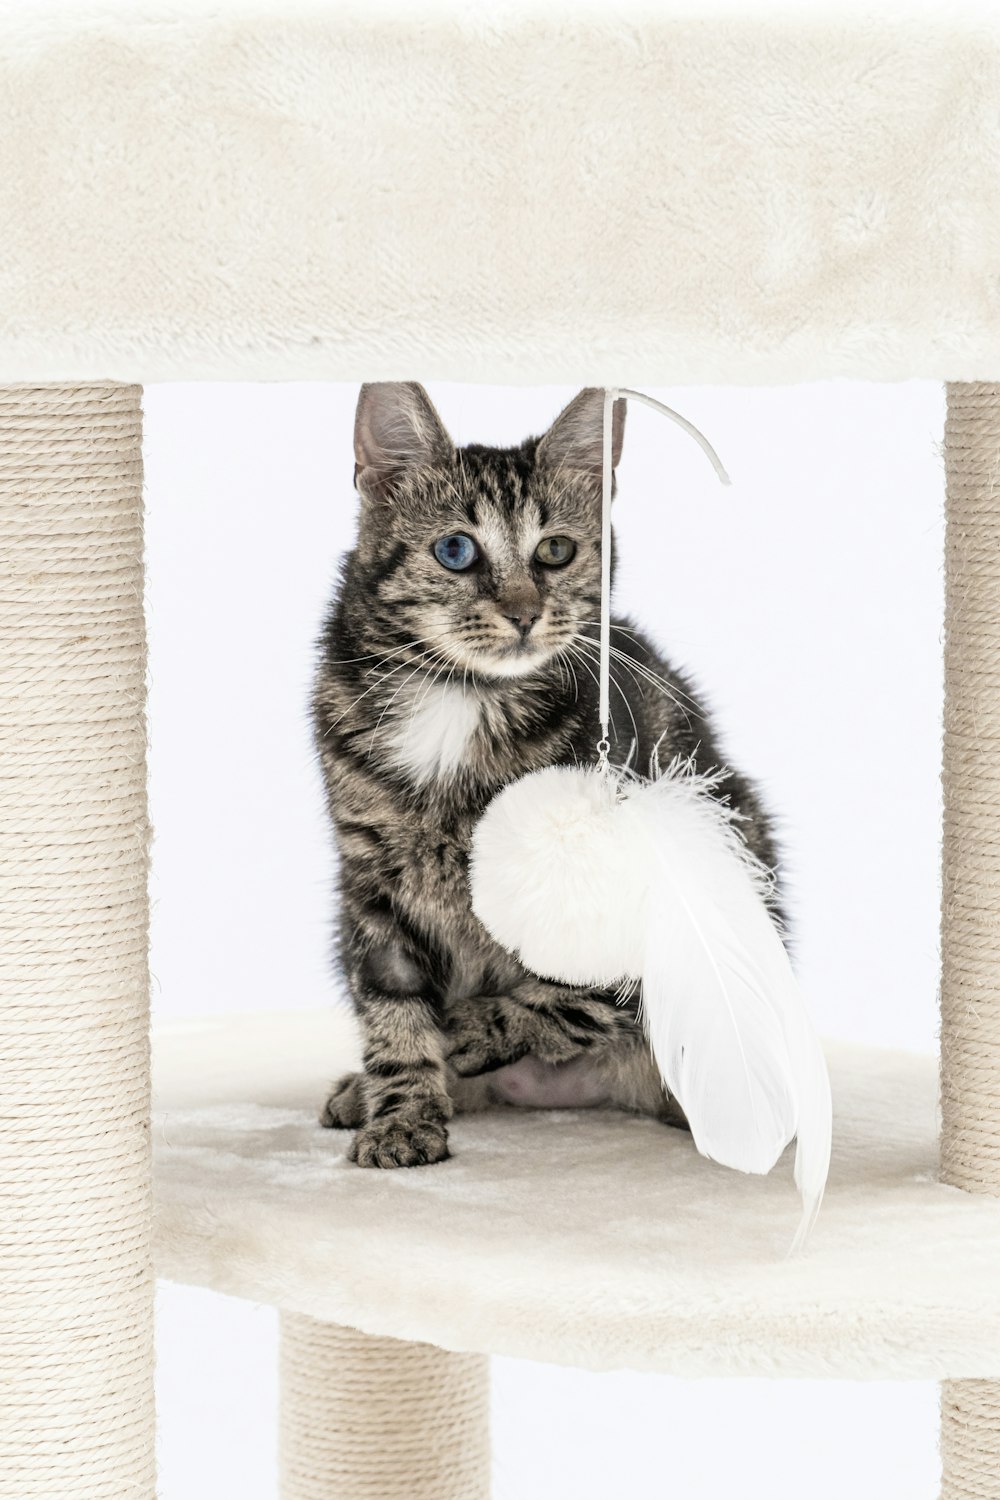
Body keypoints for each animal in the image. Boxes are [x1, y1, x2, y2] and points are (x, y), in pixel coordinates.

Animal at [313, 381, 779, 1164]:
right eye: (455, 550)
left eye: (556, 550)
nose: (525, 612)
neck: (462, 698)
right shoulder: (369, 882)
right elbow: (392, 1008)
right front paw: (403, 1113)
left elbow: (569, 991)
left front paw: (462, 1031)